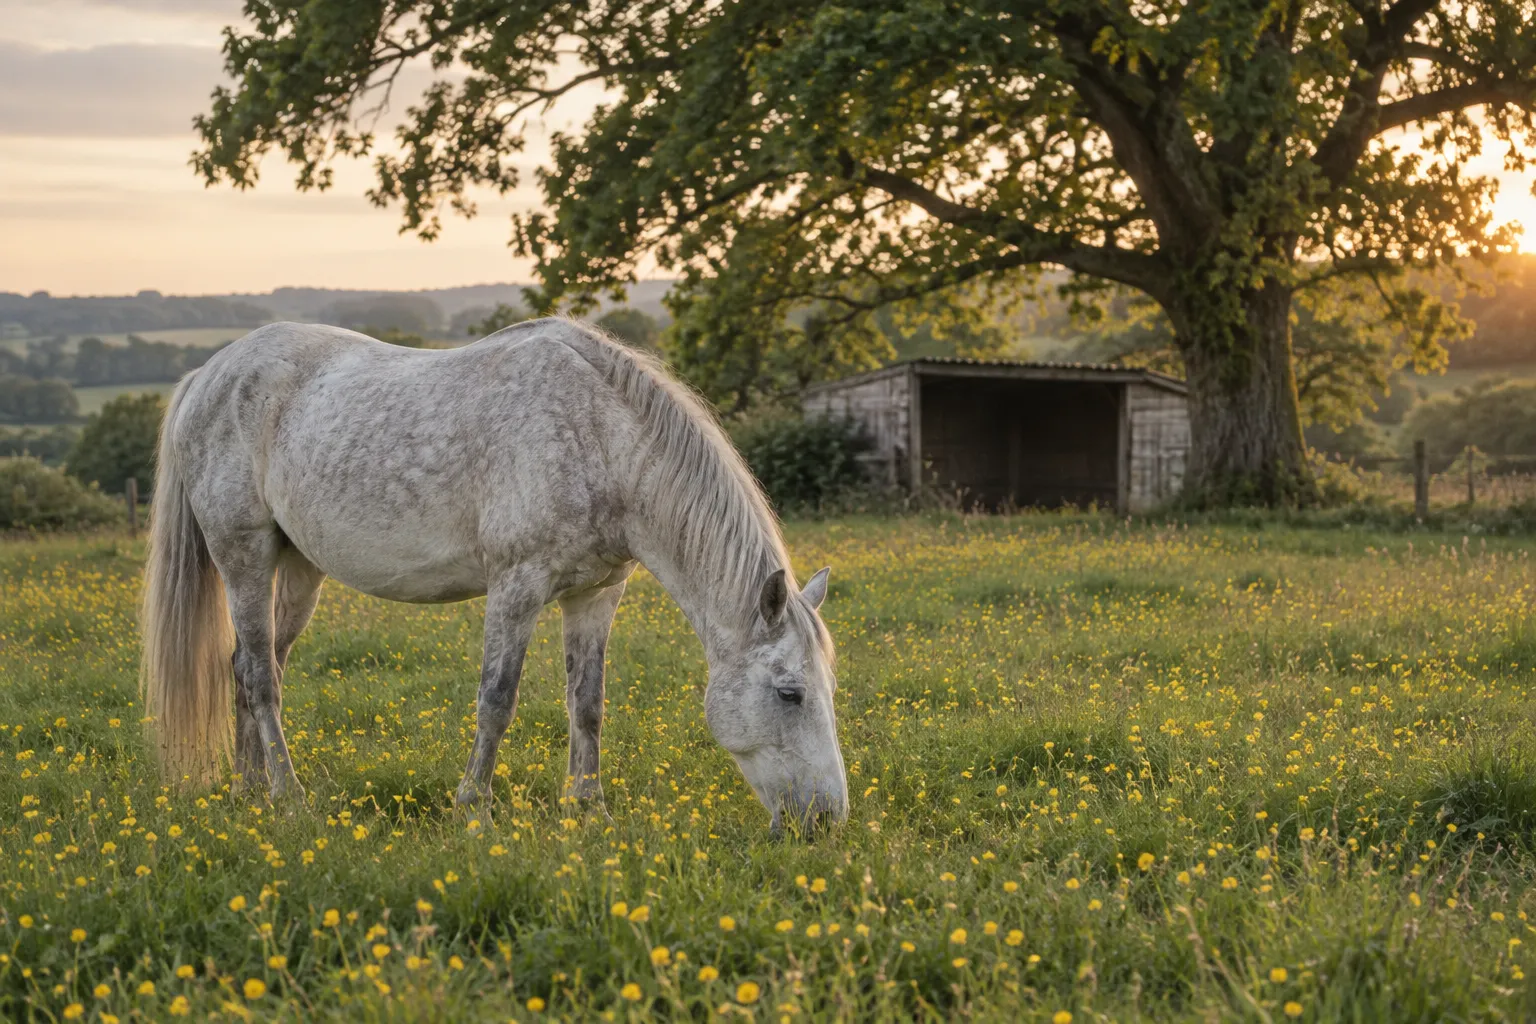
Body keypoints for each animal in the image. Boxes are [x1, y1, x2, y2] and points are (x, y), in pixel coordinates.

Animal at [139, 317, 848, 832]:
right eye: (790, 693)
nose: (825, 821)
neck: (601, 437)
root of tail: (208, 373)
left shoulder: (595, 596)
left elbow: (587, 704)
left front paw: (588, 808)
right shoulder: (517, 586)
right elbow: (497, 700)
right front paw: (472, 808)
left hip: (297, 569)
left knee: (249, 666)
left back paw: (247, 792)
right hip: (244, 555)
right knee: (260, 676)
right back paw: (288, 797)